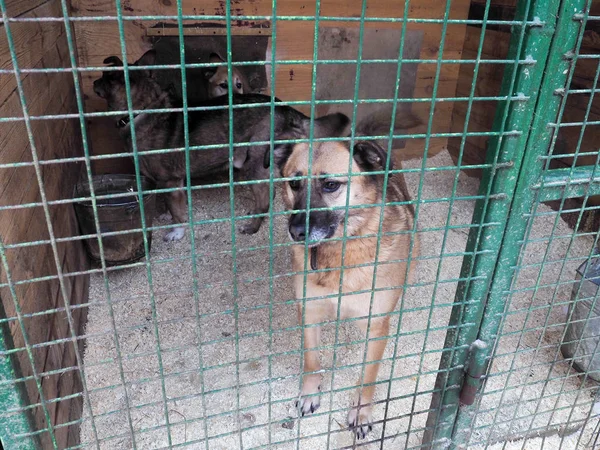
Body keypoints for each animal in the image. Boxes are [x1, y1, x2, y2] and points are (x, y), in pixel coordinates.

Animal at [270, 113, 420, 440]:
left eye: (330, 185)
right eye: (294, 183)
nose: (296, 232)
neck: (340, 252)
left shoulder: (376, 326)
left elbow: (368, 376)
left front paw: (361, 412)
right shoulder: (309, 310)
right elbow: (311, 359)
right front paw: (310, 393)